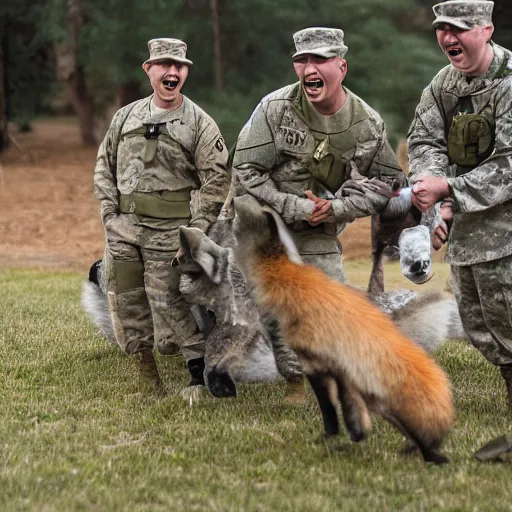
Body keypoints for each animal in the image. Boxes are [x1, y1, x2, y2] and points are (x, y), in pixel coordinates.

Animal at [234, 196, 454, 464]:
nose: (234, 199)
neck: (289, 282)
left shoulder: (315, 365)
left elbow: (330, 411)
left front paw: (329, 439)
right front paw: (352, 436)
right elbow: (351, 414)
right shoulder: (339, 370)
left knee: (430, 449)